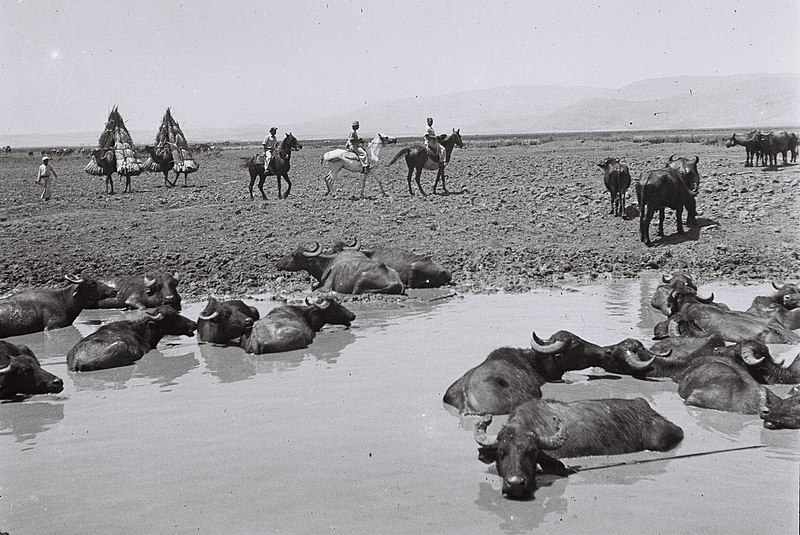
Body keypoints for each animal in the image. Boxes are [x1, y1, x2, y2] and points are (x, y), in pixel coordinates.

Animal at [276, 244, 406, 296]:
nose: (277, 264)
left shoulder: (326, 288)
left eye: (293, 255)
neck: (327, 263)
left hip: (361, 280)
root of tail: (397, 281)